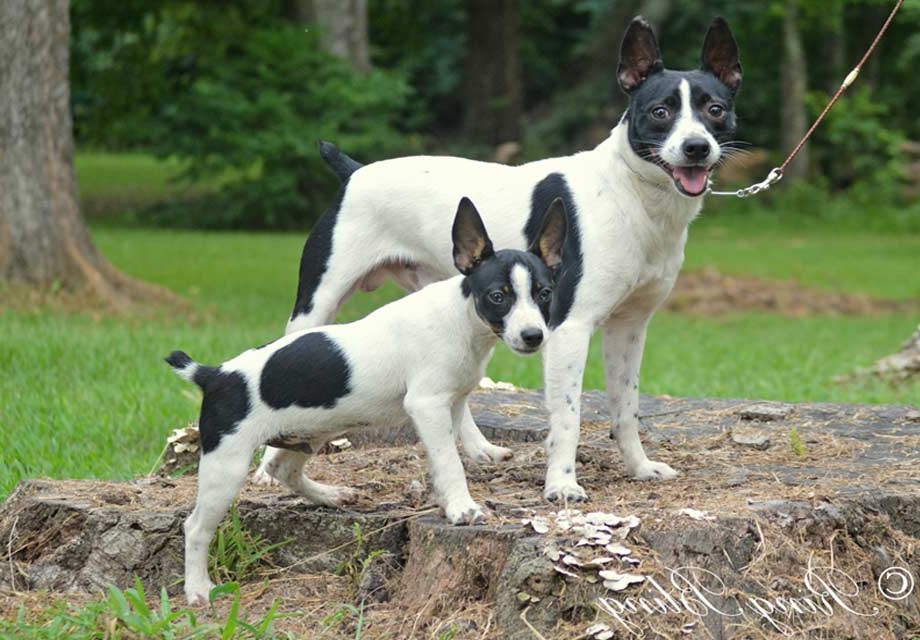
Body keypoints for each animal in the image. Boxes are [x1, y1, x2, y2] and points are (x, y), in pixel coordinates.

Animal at [169, 199, 564, 604]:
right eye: (498, 296)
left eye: (544, 294)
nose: (533, 336)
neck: (462, 316)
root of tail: (215, 374)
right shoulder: (427, 405)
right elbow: (449, 462)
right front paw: (462, 508)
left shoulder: (453, 400)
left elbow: (459, 441)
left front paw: (470, 470)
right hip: (226, 465)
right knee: (195, 527)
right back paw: (197, 589)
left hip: (308, 434)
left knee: (284, 471)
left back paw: (331, 496)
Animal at [255, 17, 744, 502]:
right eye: (660, 112)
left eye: (715, 109)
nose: (696, 147)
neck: (628, 192)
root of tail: (354, 172)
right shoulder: (568, 328)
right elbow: (567, 418)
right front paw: (562, 483)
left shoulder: (630, 327)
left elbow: (626, 408)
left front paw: (639, 467)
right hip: (317, 303)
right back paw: (264, 468)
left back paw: (478, 448)